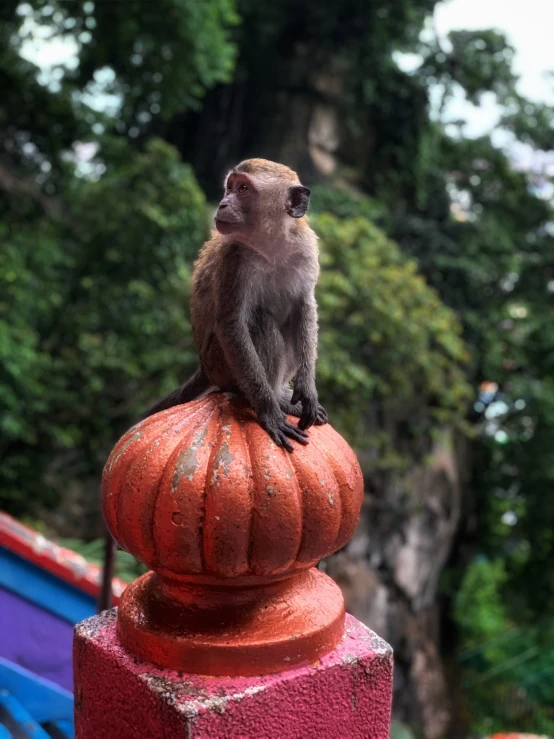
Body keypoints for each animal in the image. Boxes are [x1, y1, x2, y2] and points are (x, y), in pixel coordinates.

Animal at [142, 159, 328, 454]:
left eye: (242, 189)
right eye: (229, 187)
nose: (222, 204)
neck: (271, 246)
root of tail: (205, 367)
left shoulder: (306, 250)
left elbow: (305, 309)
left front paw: (307, 389)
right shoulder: (235, 260)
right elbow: (232, 325)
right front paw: (269, 410)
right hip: (221, 364)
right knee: (260, 321)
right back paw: (274, 398)